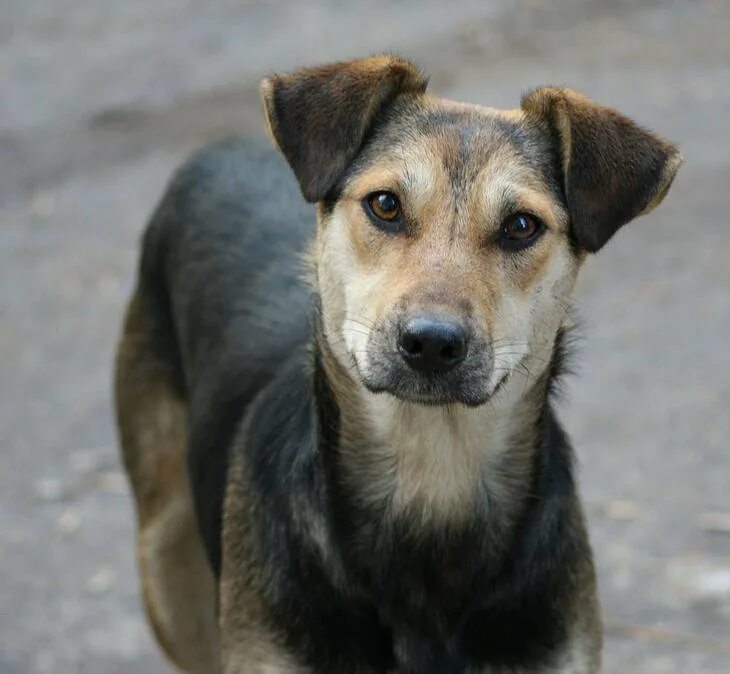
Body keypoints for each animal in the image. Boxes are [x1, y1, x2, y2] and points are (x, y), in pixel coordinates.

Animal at [114, 53, 676, 672]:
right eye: (385, 205)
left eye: (521, 225)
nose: (431, 343)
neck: (430, 475)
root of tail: (217, 148)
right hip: (166, 556)